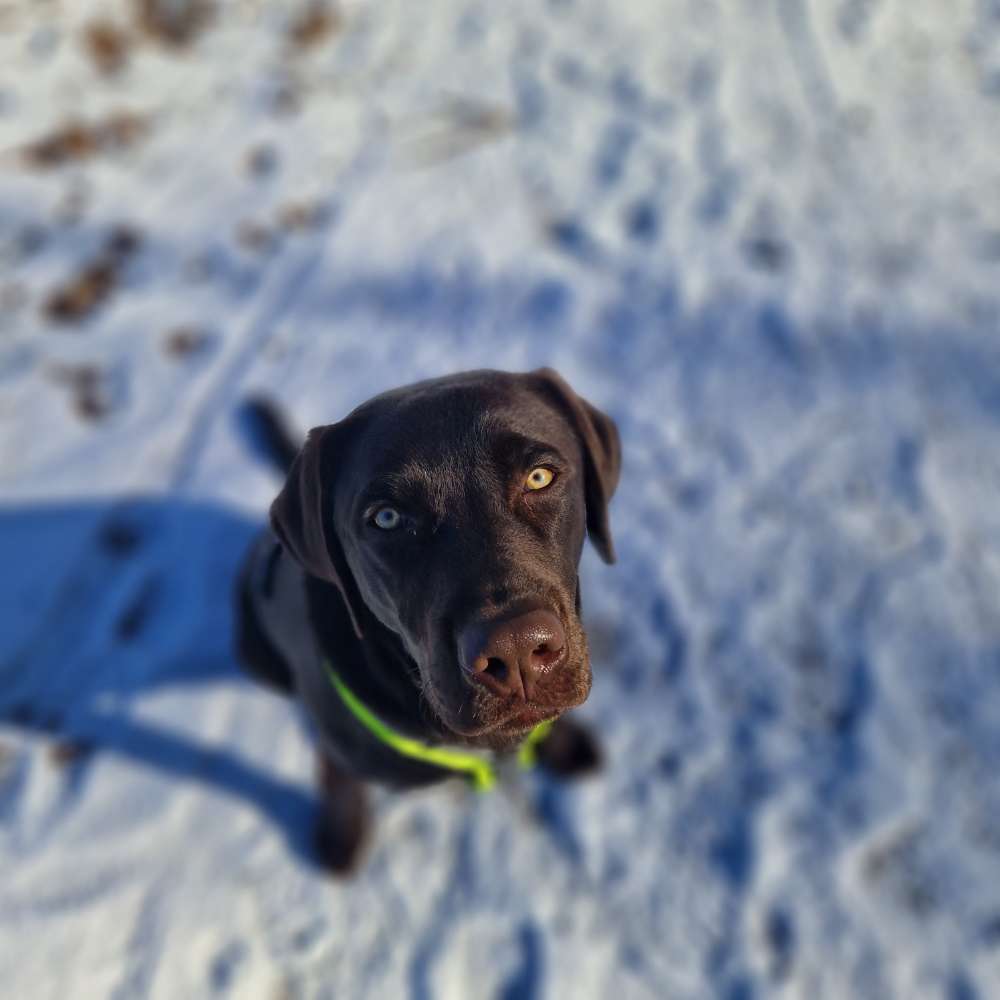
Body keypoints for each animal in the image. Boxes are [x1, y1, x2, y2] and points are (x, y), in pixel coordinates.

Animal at [237, 366, 620, 868]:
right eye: (386, 518)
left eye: (539, 476)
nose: (517, 650)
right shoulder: (340, 751)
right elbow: (340, 782)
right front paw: (342, 834)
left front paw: (563, 744)